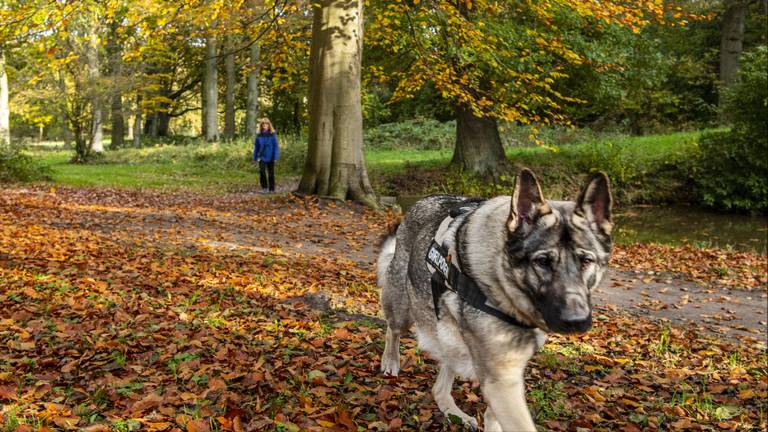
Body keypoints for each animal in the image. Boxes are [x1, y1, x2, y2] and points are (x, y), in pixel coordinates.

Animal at [376, 170, 612, 432]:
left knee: (439, 388)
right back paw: (390, 361)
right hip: (403, 309)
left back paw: (454, 412)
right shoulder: (501, 380)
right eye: (542, 262)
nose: (576, 321)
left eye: (586, 261)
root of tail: (421, 201)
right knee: (392, 329)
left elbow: (493, 416)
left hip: (451, 341)